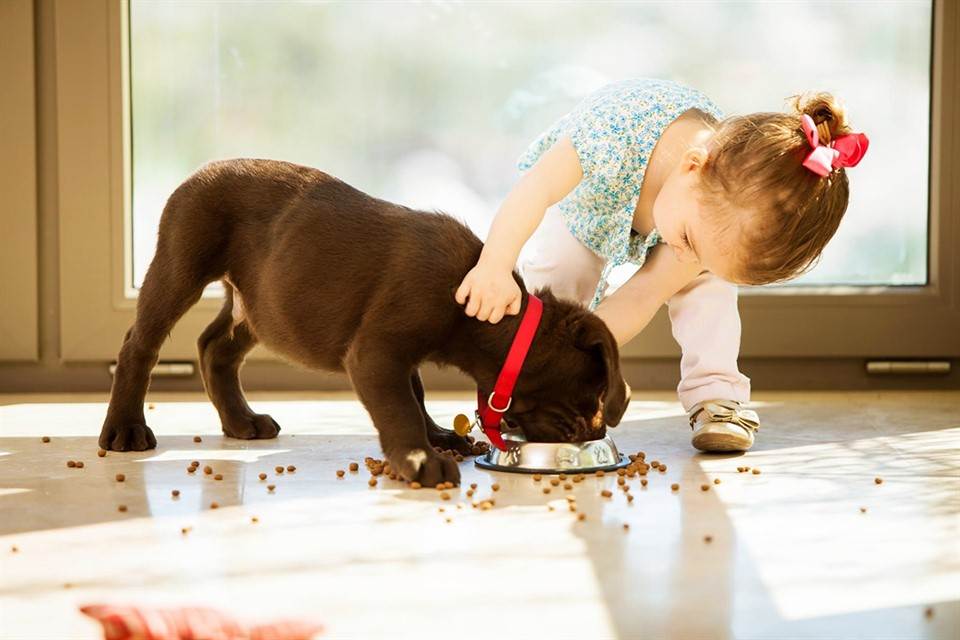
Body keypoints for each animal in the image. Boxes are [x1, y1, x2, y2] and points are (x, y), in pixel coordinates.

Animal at [101, 158, 632, 482]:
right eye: (591, 393)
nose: (592, 433)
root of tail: (202, 169)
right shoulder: (378, 351)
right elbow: (399, 406)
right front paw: (421, 458)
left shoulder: (398, 353)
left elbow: (415, 393)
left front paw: (437, 436)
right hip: (181, 264)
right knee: (139, 344)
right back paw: (125, 430)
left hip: (262, 305)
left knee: (215, 347)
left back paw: (241, 421)